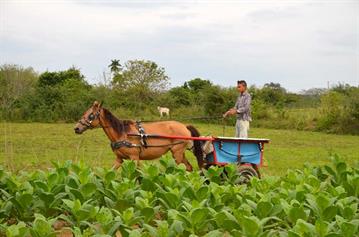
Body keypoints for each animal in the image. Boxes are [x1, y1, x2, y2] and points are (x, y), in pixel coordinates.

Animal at [74, 101, 204, 170]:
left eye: (91, 115)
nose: (76, 128)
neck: (123, 133)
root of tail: (184, 126)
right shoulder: (119, 159)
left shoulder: (134, 158)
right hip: (179, 153)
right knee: (189, 167)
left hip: (177, 153)